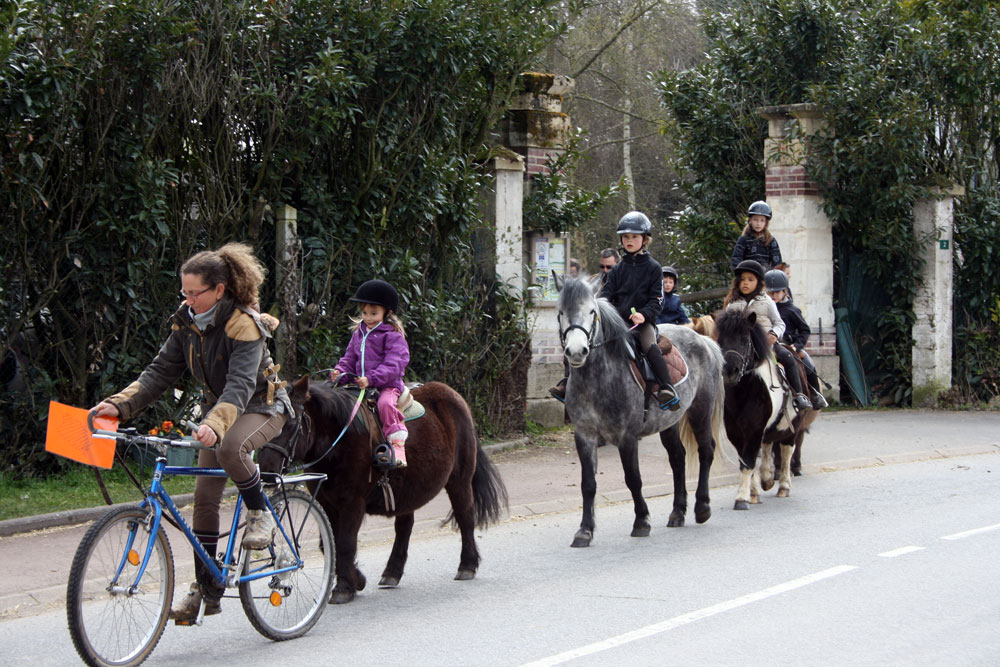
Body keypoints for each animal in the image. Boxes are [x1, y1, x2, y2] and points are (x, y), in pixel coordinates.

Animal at [258, 378, 508, 604]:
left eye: (290, 425)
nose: (266, 471)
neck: (340, 438)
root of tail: (454, 397)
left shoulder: (352, 503)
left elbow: (345, 544)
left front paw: (344, 588)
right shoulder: (326, 502)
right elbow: (329, 544)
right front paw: (357, 579)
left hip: (459, 481)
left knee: (465, 518)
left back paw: (467, 565)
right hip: (409, 490)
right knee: (404, 528)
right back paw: (392, 572)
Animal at [552, 276, 724, 548]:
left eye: (592, 311)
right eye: (561, 312)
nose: (576, 351)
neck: (598, 379)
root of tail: (702, 340)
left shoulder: (627, 437)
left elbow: (633, 478)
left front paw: (642, 521)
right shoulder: (585, 435)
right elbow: (588, 483)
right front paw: (584, 531)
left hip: (701, 411)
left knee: (706, 450)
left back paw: (702, 507)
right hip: (669, 422)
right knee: (678, 458)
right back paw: (678, 512)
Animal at [716, 310, 816, 508]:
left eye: (744, 339)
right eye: (720, 339)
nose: (730, 371)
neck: (744, 391)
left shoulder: (754, 428)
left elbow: (748, 461)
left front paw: (741, 498)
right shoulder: (735, 432)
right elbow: (748, 460)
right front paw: (753, 493)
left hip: (793, 426)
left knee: (786, 451)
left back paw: (783, 486)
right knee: (768, 446)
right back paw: (767, 479)